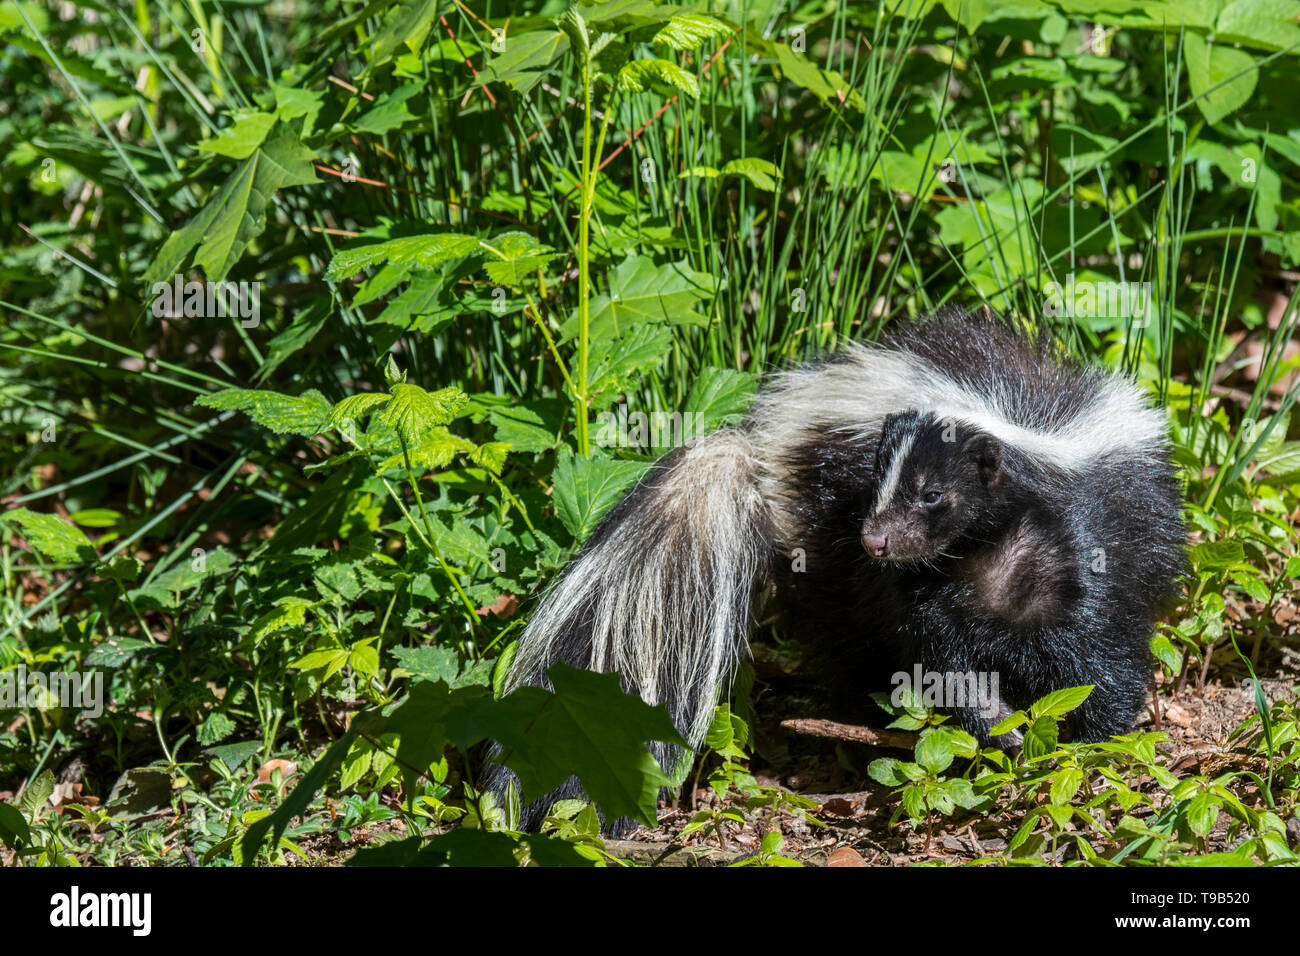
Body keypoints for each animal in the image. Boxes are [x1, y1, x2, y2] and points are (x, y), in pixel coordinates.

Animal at [486, 312, 1180, 832]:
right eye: (878, 483)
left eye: (932, 495)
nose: (875, 538)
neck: (986, 557)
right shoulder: (927, 591)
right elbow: (946, 664)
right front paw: (1000, 729)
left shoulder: (1086, 557)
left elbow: (1101, 662)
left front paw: (1080, 751)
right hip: (821, 546)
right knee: (847, 638)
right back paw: (860, 731)